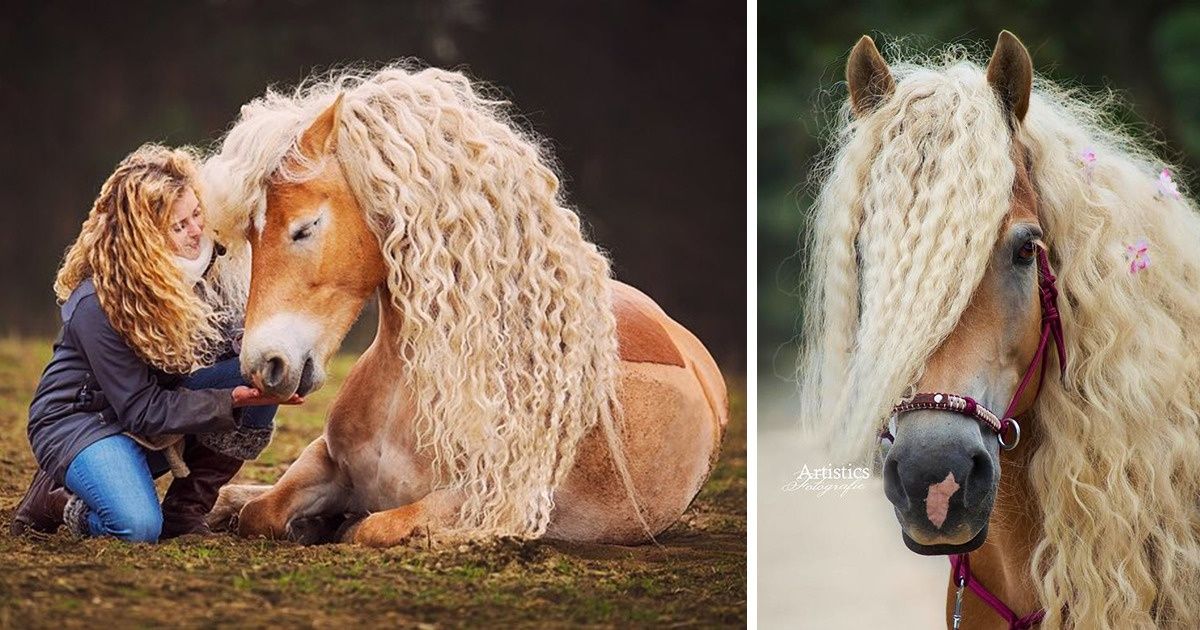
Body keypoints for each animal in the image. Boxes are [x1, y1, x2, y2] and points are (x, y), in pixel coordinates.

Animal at [199, 64, 728, 547]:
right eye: (249, 236)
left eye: (305, 227)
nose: (264, 364)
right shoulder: (324, 459)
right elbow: (264, 513)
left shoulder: (488, 498)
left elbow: (371, 528)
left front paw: (338, 524)